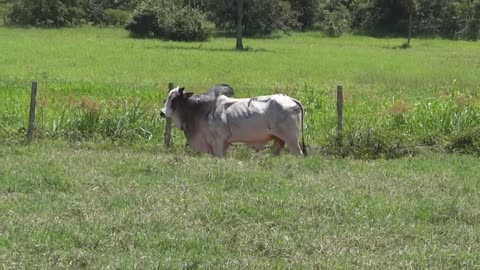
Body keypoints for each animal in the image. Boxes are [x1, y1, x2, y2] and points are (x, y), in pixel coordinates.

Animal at [159, 86, 306, 157]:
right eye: (168, 97)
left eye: (174, 99)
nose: (162, 112)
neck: (199, 109)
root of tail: (291, 99)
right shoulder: (223, 143)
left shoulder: (218, 141)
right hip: (278, 139)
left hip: (292, 139)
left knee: (298, 154)